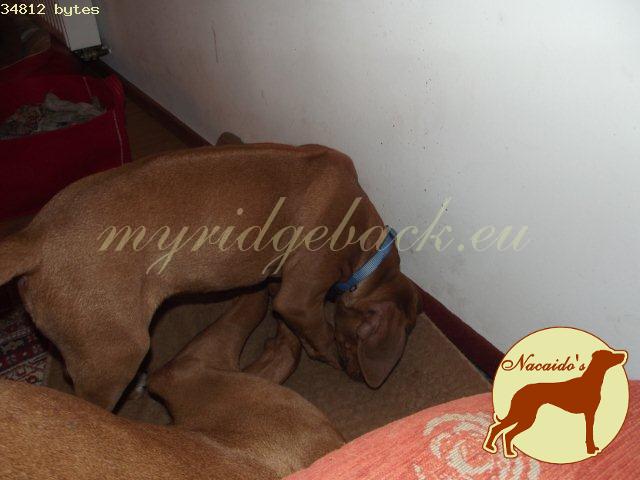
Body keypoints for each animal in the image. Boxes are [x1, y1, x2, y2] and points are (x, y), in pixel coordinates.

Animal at [0, 138, 421, 410]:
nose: (357, 378)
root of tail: (35, 237)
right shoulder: (301, 298)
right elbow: (320, 334)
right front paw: (329, 354)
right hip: (115, 353)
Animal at [483, 349, 627, 457]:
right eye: (610, 354)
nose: (624, 355)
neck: (590, 381)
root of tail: (519, 391)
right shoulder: (589, 414)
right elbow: (589, 434)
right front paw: (591, 450)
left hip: (522, 415)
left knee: (502, 430)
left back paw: (499, 449)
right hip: (525, 416)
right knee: (503, 431)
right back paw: (499, 450)